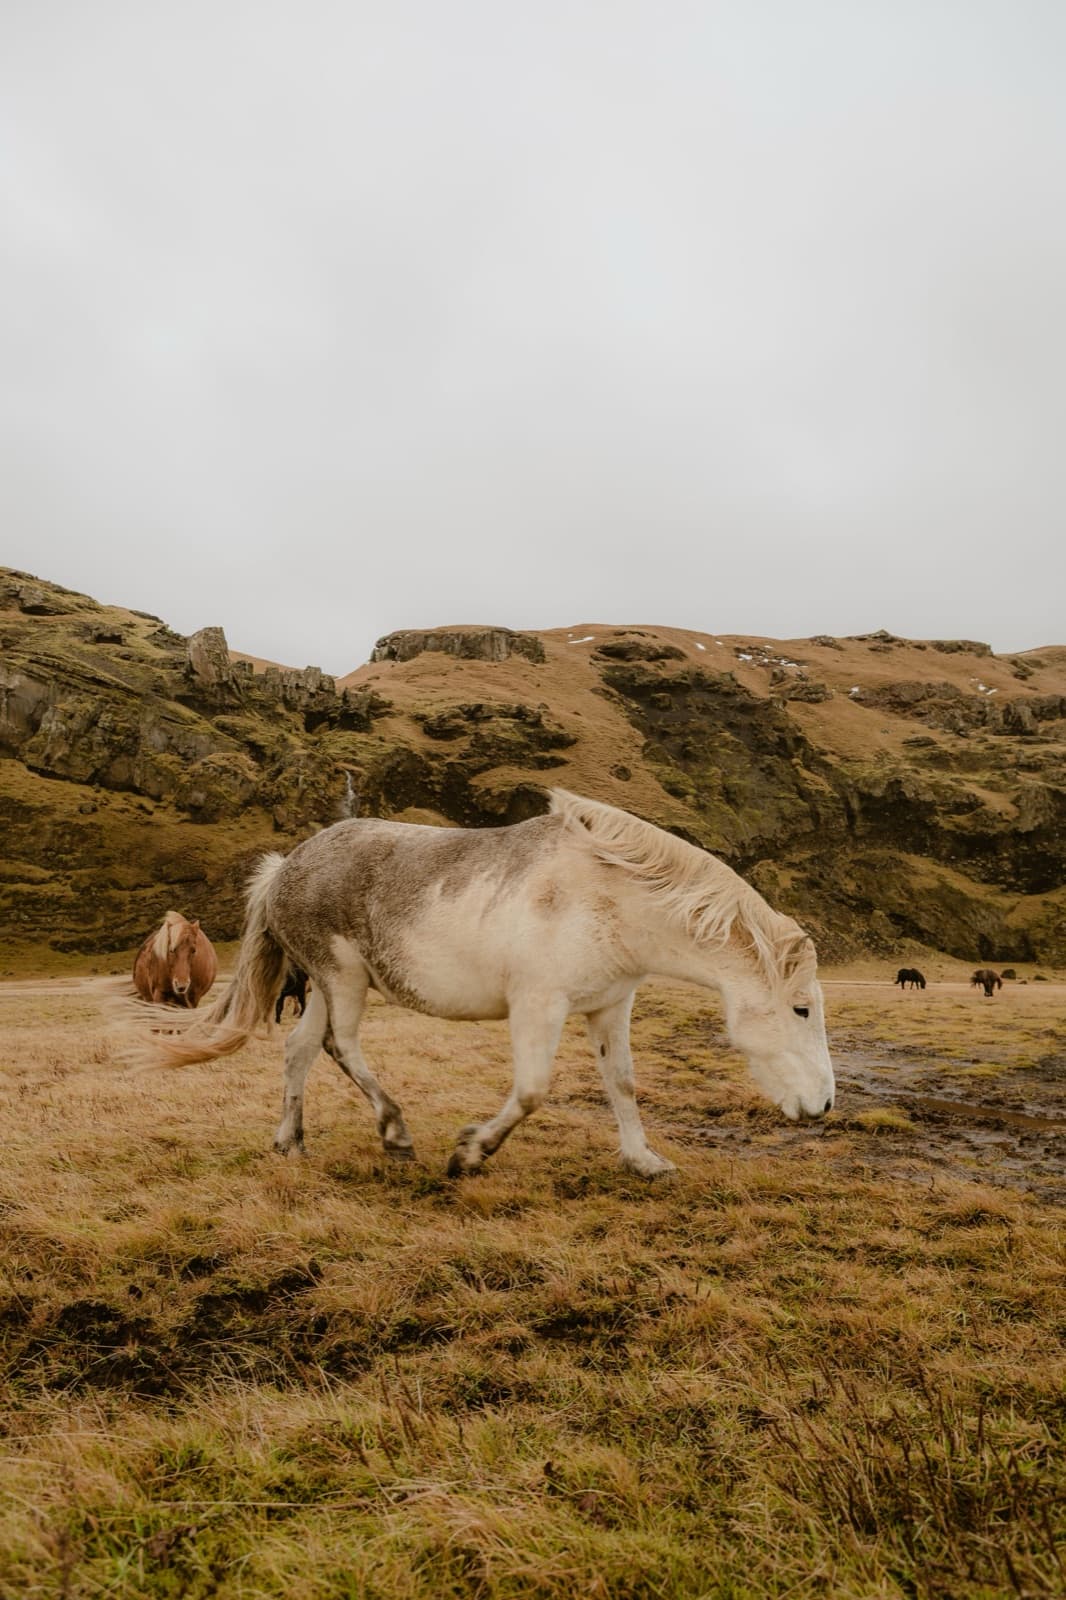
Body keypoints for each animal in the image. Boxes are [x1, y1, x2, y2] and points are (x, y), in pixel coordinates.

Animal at [129, 790, 835, 1177]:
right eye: (802, 1009)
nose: (824, 1106)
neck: (605, 895)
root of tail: (284, 868)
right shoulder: (538, 1007)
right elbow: (531, 1091)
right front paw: (471, 1152)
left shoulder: (610, 1007)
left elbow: (623, 1085)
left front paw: (643, 1161)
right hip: (342, 980)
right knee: (341, 1047)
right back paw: (395, 1131)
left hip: (328, 990)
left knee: (301, 1051)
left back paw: (291, 1143)